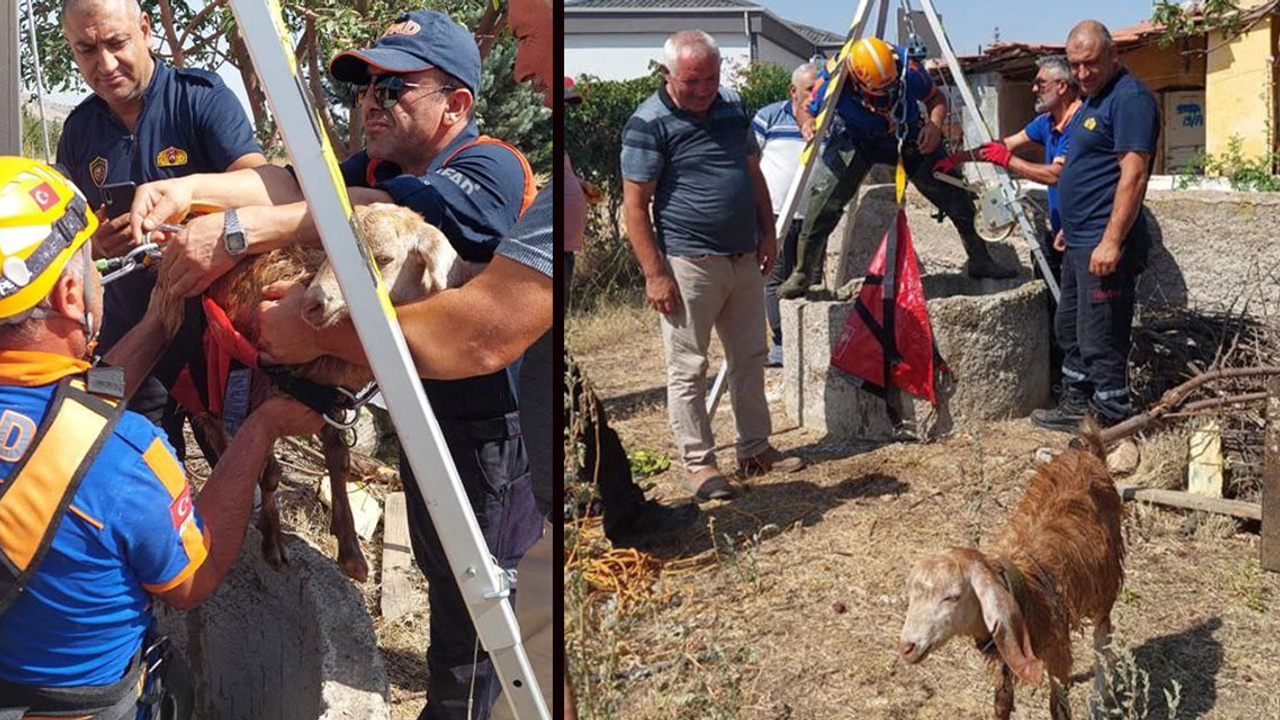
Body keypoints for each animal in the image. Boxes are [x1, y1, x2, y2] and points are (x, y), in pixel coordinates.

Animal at [157, 198, 478, 579]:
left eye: (383, 258)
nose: (312, 303)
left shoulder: (332, 402)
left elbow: (338, 462)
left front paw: (351, 551)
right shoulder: (258, 395)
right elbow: (270, 471)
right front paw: (273, 543)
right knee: (210, 424)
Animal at [896, 420, 1126, 717]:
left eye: (953, 597)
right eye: (911, 596)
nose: (907, 647)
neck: (1025, 589)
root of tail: (1088, 453)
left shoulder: (1058, 653)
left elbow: (1058, 706)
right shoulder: (1006, 652)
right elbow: (1002, 703)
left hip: (1105, 585)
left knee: (1102, 638)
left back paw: (1100, 699)